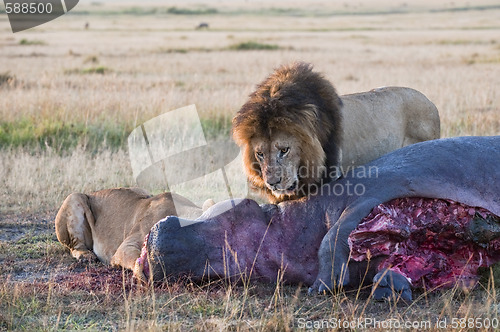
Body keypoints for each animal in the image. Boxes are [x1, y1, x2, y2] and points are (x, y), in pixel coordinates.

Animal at [55, 188, 211, 278]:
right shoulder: (125, 247)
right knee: (74, 247)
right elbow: (133, 258)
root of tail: (92, 193)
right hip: (74, 197)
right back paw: (85, 255)